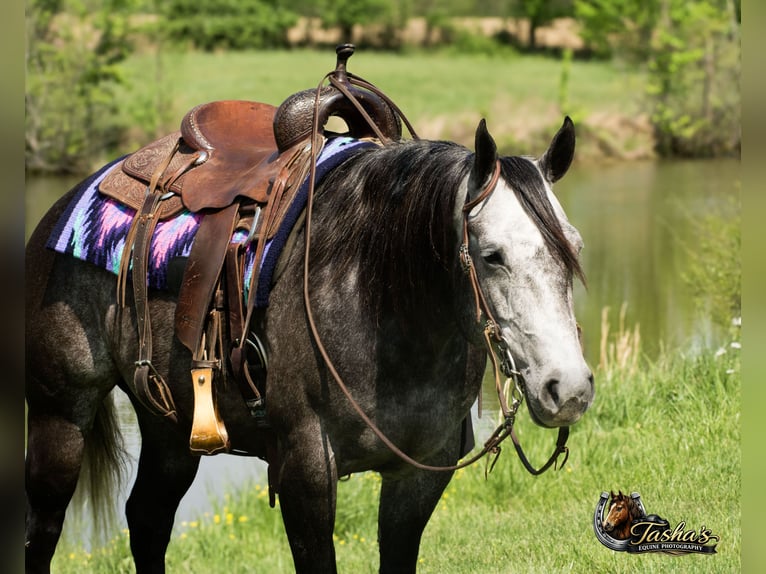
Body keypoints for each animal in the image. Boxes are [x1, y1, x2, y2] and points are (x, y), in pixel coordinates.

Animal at [25, 117, 594, 573]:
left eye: (575, 246)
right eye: (493, 255)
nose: (568, 389)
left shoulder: (419, 476)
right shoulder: (306, 472)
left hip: (170, 428)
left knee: (147, 520)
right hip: (61, 416)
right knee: (44, 529)